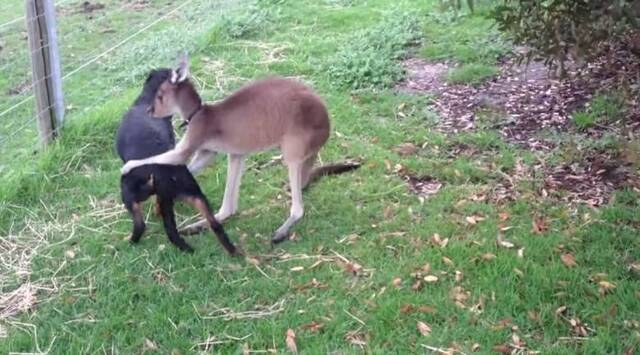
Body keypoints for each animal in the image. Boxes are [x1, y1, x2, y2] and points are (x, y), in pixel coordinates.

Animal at [115, 67, 238, 256]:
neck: (145, 101)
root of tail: (162, 174)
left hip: (129, 194)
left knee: (142, 225)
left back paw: (132, 241)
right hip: (195, 195)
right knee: (214, 224)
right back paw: (232, 251)